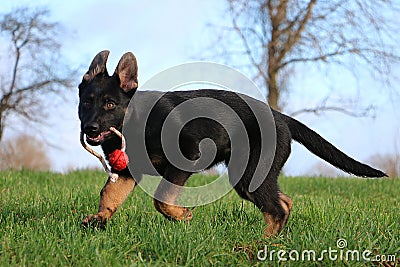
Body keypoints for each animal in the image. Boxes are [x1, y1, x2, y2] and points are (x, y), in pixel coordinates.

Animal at [79, 51, 388, 238]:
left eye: (110, 104)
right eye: (86, 102)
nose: (89, 129)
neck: (135, 120)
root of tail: (280, 117)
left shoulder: (187, 154)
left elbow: (162, 198)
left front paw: (183, 216)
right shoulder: (127, 172)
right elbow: (109, 195)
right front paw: (98, 220)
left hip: (250, 175)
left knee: (277, 209)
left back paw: (261, 245)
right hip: (251, 178)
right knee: (283, 202)